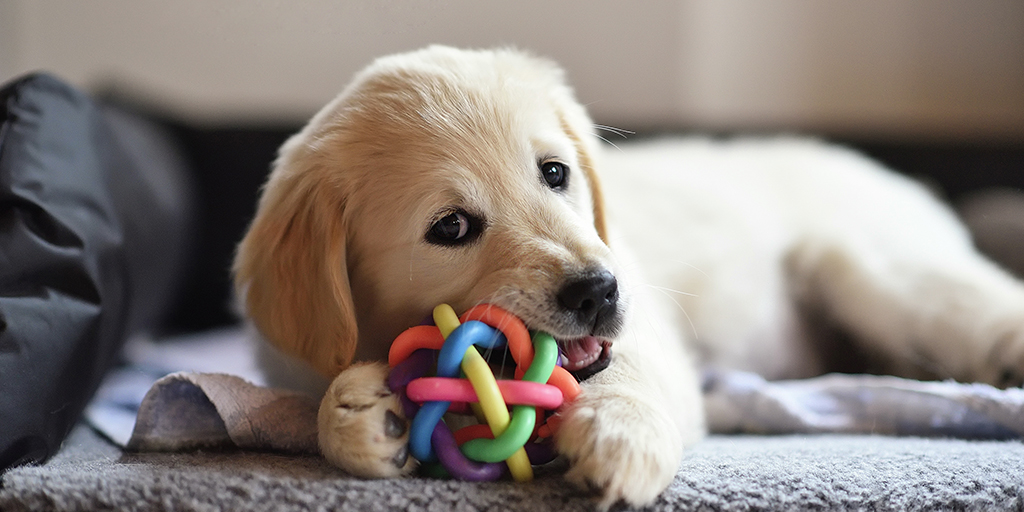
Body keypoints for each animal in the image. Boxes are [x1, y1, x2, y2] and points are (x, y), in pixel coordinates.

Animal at [235, 45, 1024, 507]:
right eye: (450, 228)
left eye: (555, 173)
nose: (597, 291)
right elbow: (320, 398)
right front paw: (362, 411)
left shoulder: (647, 326)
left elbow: (628, 372)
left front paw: (620, 434)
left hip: (873, 272)